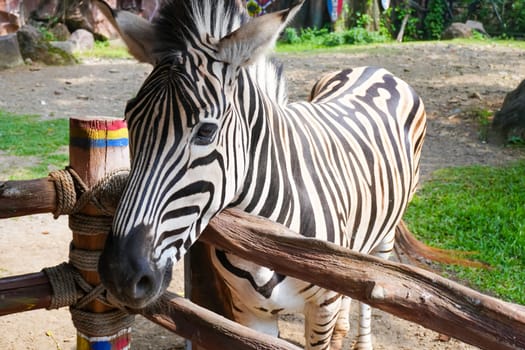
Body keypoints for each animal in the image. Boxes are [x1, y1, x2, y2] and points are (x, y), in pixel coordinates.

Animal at [97, 1, 426, 348]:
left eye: (206, 131)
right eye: (129, 120)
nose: (120, 275)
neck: (266, 238)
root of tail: (375, 69)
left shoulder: (321, 309)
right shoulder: (250, 310)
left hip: (386, 233)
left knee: (369, 290)